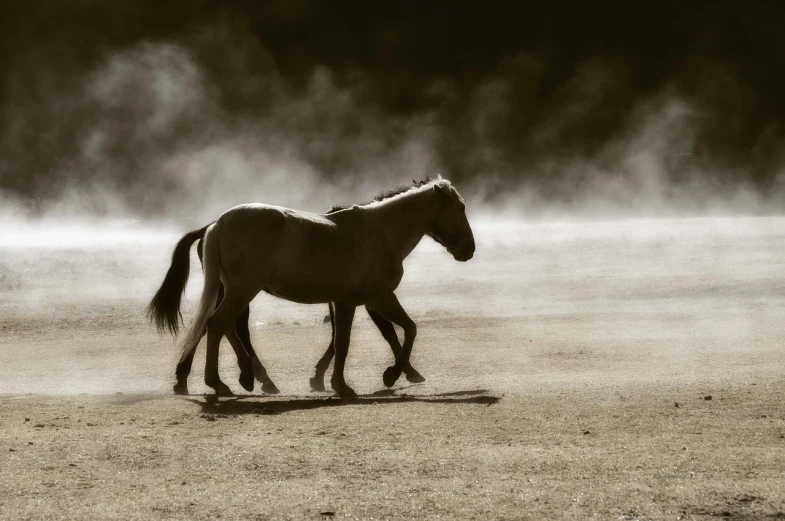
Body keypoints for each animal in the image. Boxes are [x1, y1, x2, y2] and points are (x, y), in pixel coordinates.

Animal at [149, 177, 474, 396]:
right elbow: (380, 336)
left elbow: (387, 333)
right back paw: (220, 383)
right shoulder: (371, 299)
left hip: (232, 292)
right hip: (241, 291)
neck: (381, 232)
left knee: (222, 326)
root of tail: (217, 224)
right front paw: (381, 377)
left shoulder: (363, 300)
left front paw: (349, 381)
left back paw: (240, 378)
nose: (468, 249)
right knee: (218, 326)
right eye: (460, 208)